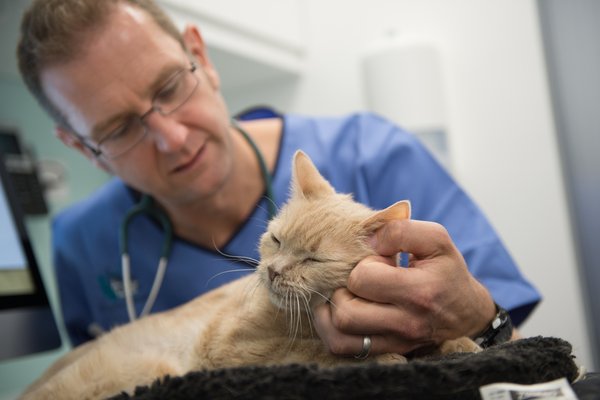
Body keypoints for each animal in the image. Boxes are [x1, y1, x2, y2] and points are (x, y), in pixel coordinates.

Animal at [21, 151, 478, 400]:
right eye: (276, 240)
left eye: (312, 260)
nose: (273, 271)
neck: (301, 318)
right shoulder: (227, 352)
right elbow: (313, 354)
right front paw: (380, 356)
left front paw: (457, 341)